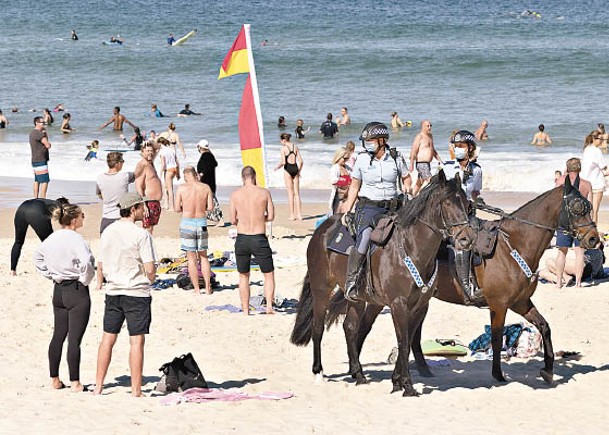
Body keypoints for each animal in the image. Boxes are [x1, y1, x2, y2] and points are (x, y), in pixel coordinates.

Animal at [290, 172, 476, 396]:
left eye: (466, 203)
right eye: (447, 203)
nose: (467, 239)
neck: (412, 247)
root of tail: (322, 231)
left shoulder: (419, 306)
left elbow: (406, 341)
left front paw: (397, 382)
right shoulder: (398, 304)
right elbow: (403, 342)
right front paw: (407, 386)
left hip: (359, 299)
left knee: (350, 327)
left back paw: (359, 375)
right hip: (321, 290)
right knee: (318, 327)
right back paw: (318, 372)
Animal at [354, 175, 596, 386]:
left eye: (588, 205)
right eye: (577, 208)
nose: (593, 238)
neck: (514, 246)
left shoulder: (521, 303)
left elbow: (544, 327)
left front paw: (548, 369)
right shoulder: (499, 305)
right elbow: (497, 338)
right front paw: (498, 374)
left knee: (412, 335)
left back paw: (421, 370)